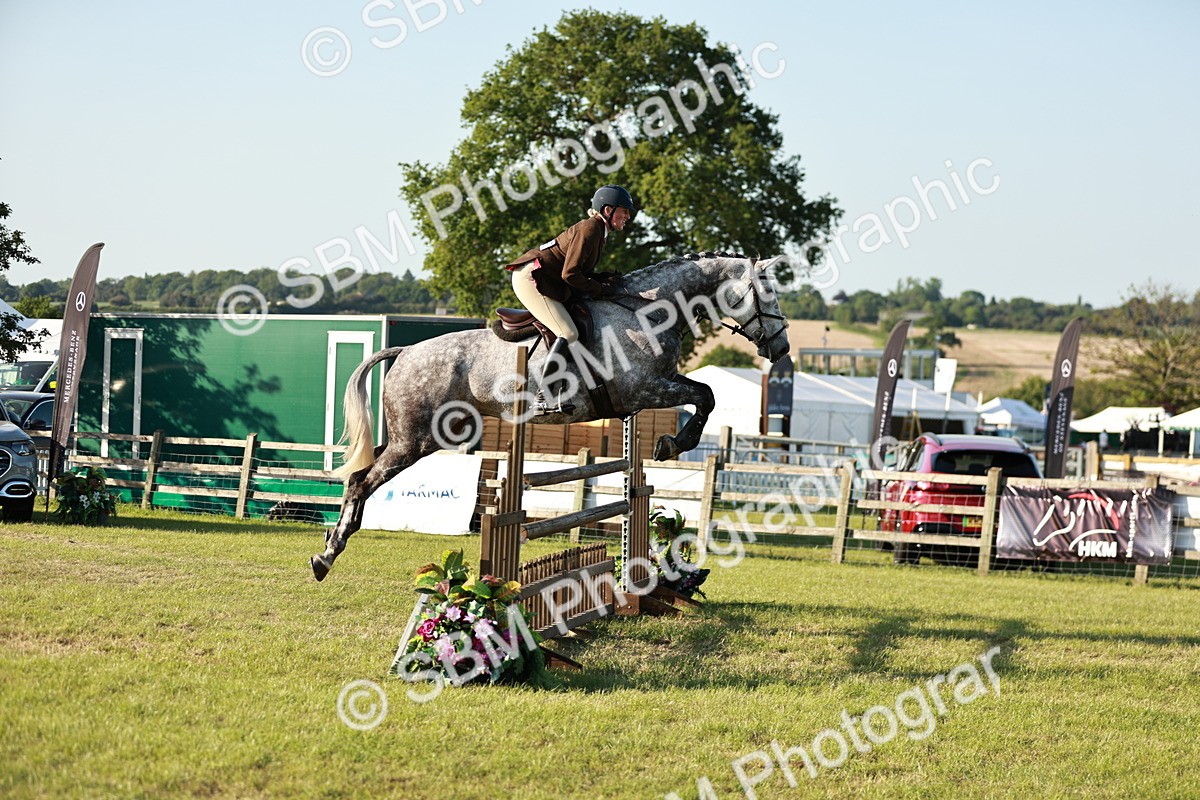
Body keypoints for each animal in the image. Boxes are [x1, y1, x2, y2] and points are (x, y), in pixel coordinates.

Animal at [311, 252, 791, 580]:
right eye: (767, 293)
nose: (783, 348)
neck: (645, 311)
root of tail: (406, 350)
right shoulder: (646, 388)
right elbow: (706, 396)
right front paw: (673, 444)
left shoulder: (653, 388)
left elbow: (703, 396)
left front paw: (669, 443)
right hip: (416, 440)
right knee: (362, 481)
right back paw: (327, 555)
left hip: (423, 436)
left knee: (364, 471)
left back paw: (332, 544)